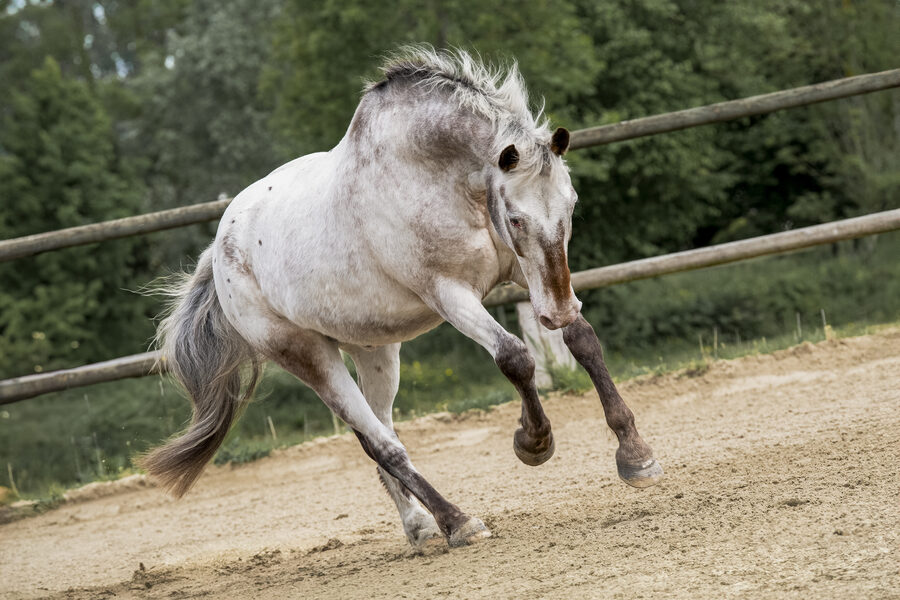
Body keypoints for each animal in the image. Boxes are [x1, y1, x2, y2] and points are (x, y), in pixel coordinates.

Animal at [140, 47, 663, 549]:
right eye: (515, 218)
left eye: (572, 204)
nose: (556, 313)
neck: (438, 178)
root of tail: (219, 251)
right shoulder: (448, 293)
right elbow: (514, 357)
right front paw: (532, 442)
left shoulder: (526, 272)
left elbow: (584, 341)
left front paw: (636, 456)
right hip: (305, 354)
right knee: (382, 444)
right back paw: (457, 523)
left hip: (373, 350)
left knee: (379, 433)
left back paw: (419, 528)